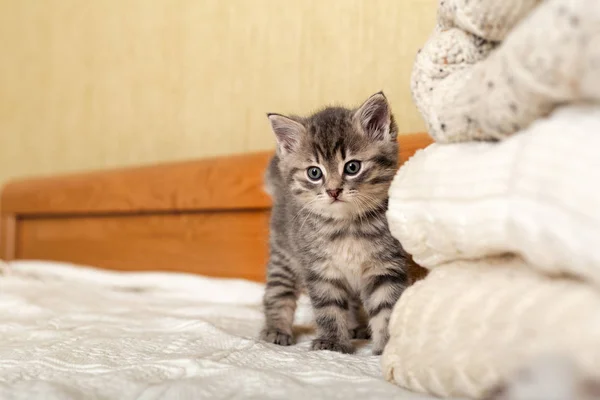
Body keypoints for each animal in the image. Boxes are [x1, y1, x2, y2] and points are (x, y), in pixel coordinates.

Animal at [262, 92, 408, 354]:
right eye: (314, 173)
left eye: (352, 167)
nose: (333, 191)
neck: (347, 226)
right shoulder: (320, 270)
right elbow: (329, 308)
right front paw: (332, 343)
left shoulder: (386, 266)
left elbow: (387, 307)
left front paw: (388, 346)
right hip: (284, 256)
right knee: (278, 293)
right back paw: (276, 329)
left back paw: (355, 327)